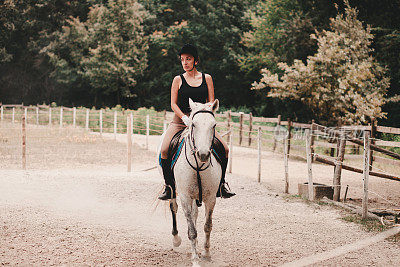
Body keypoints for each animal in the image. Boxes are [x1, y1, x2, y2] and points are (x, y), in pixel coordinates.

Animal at [156, 98, 222, 266]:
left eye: (214, 125)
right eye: (193, 124)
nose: (203, 154)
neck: (198, 164)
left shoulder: (210, 198)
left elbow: (207, 226)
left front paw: (206, 254)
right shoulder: (185, 197)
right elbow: (192, 231)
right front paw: (195, 260)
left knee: (194, 214)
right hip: (173, 189)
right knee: (174, 208)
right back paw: (176, 239)